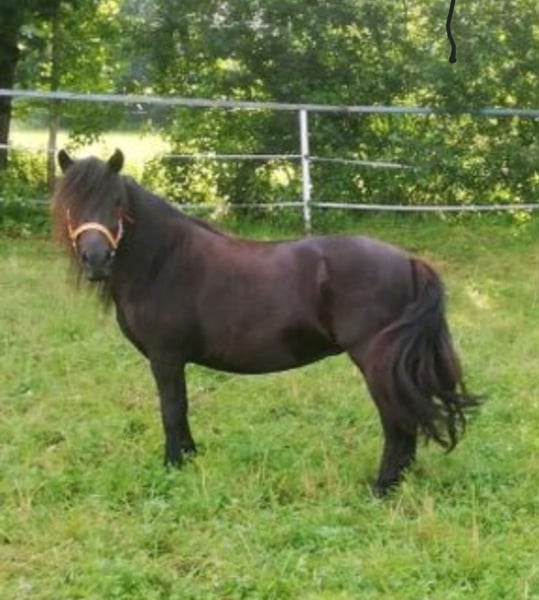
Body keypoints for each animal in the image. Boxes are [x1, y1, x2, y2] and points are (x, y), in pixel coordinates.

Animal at [52, 149, 479, 496]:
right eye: (71, 203)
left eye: (116, 202)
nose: (96, 260)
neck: (164, 260)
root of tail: (409, 262)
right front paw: (190, 458)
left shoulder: (166, 357)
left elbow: (172, 409)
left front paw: (175, 465)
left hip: (377, 362)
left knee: (397, 422)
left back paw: (382, 488)